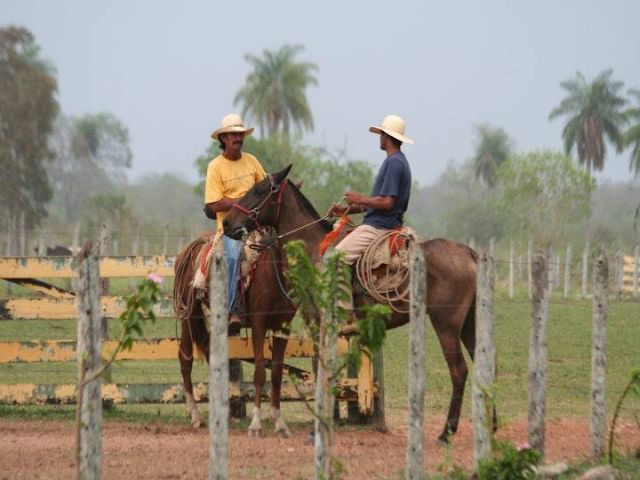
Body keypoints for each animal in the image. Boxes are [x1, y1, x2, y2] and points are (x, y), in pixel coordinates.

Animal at [174, 165, 480, 442]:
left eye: (259, 190)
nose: (228, 223)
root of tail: (470, 253)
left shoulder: (305, 321)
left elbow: (302, 371)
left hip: (446, 324)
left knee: (459, 370)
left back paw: (447, 432)